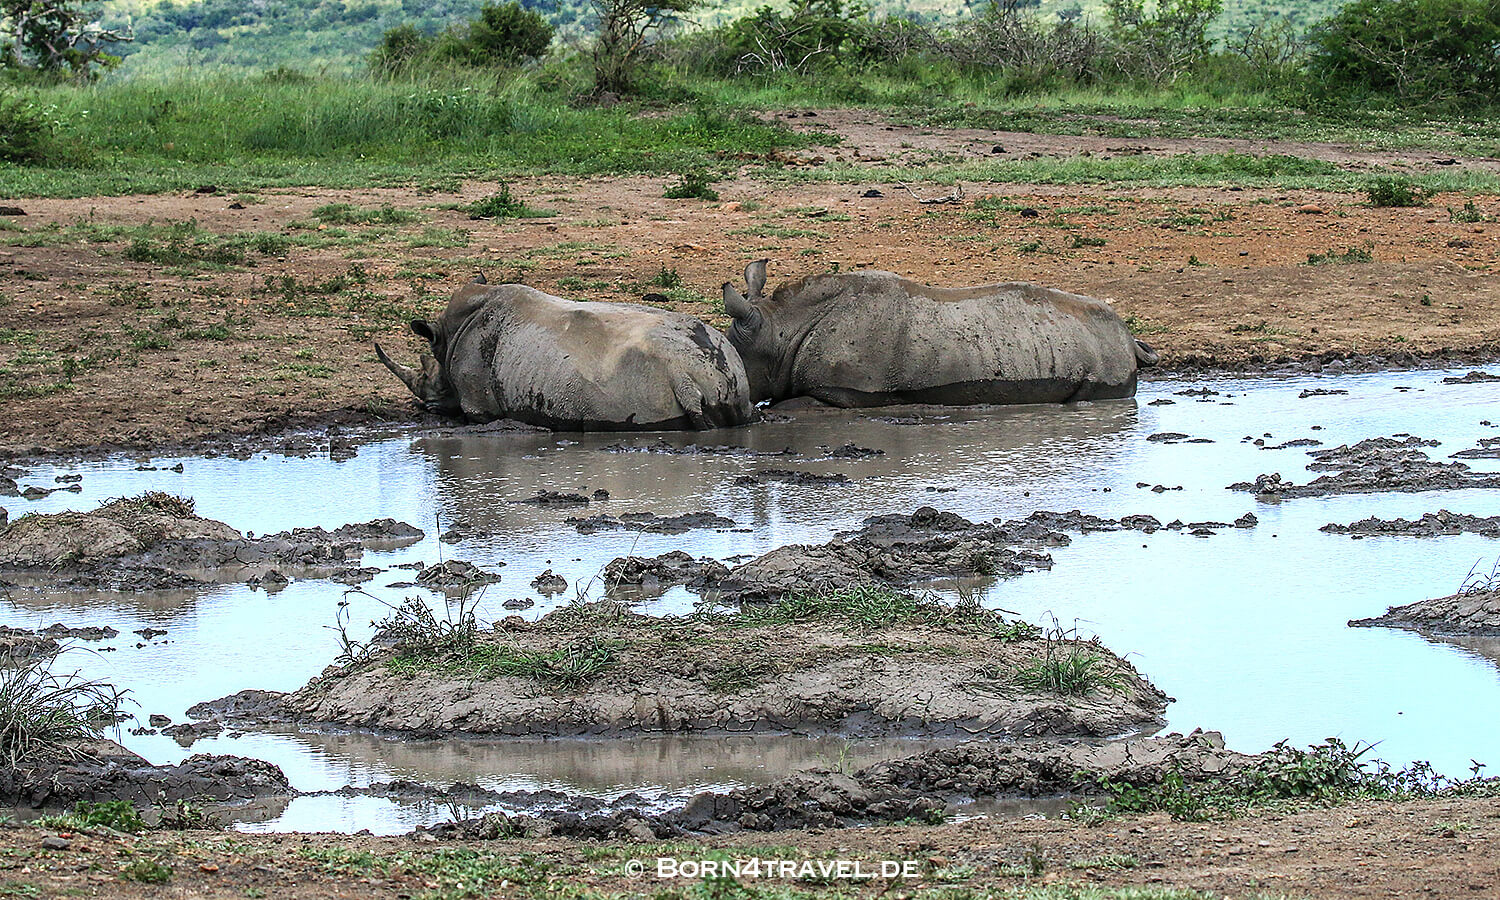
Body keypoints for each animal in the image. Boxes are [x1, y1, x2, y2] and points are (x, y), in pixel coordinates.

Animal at [376, 277, 753, 430]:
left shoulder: (477, 405)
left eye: (430, 386)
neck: (448, 339)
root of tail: (687, 376)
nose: (423, 407)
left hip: (642, 384)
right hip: (725, 369)